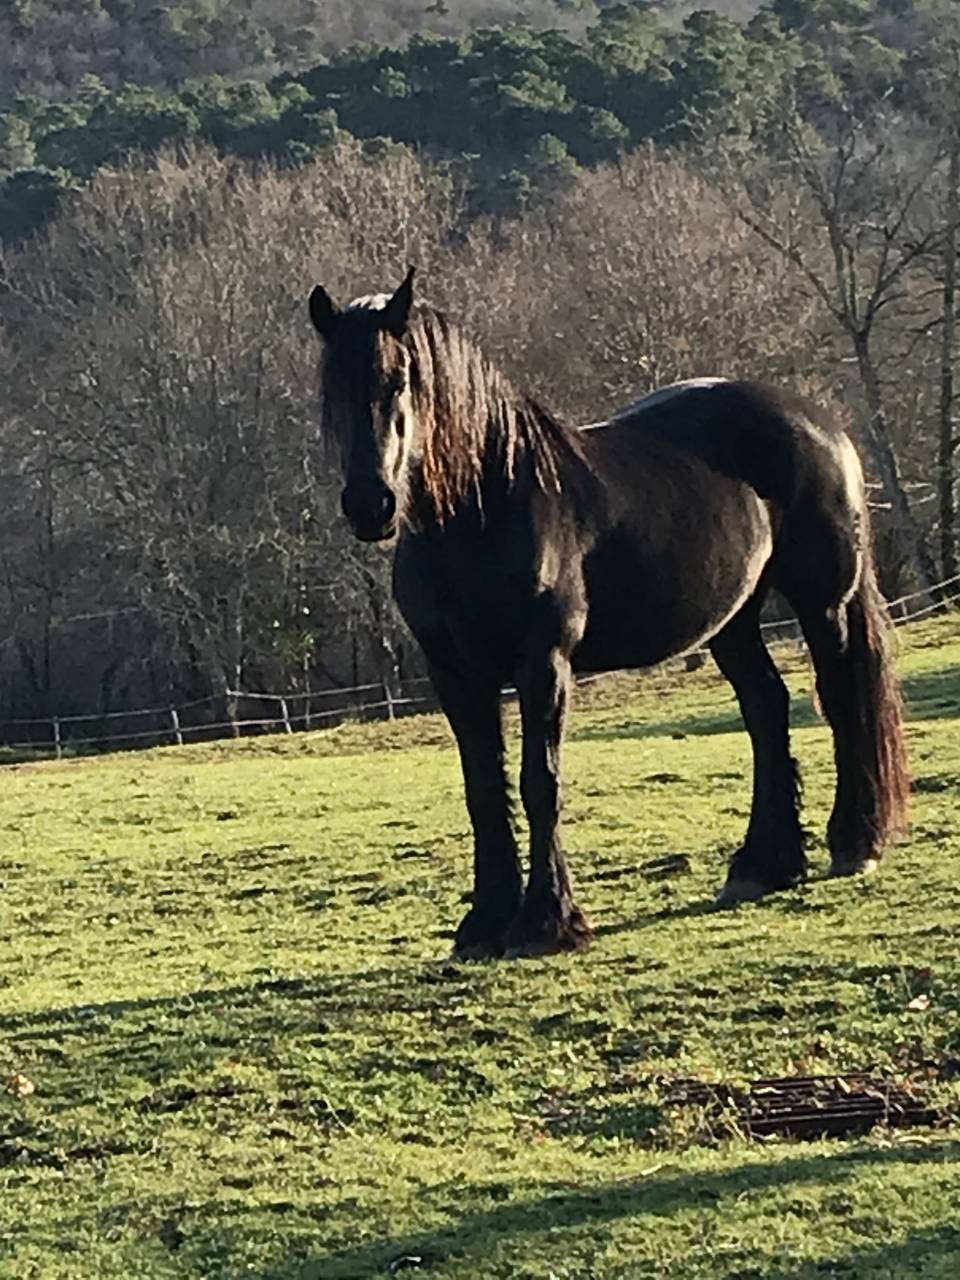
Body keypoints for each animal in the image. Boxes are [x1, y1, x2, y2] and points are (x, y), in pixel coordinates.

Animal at [308, 268, 908, 960]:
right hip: (732, 621)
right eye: (331, 390)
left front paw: (547, 922)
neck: (484, 507)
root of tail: (820, 422)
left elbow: (539, 782)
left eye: (400, 379)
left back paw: (855, 843)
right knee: (766, 708)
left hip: (823, 602)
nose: (369, 504)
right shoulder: (455, 676)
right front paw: (485, 922)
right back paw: (762, 865)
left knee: (841, 699)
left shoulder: (543, 665)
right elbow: (482, 790)